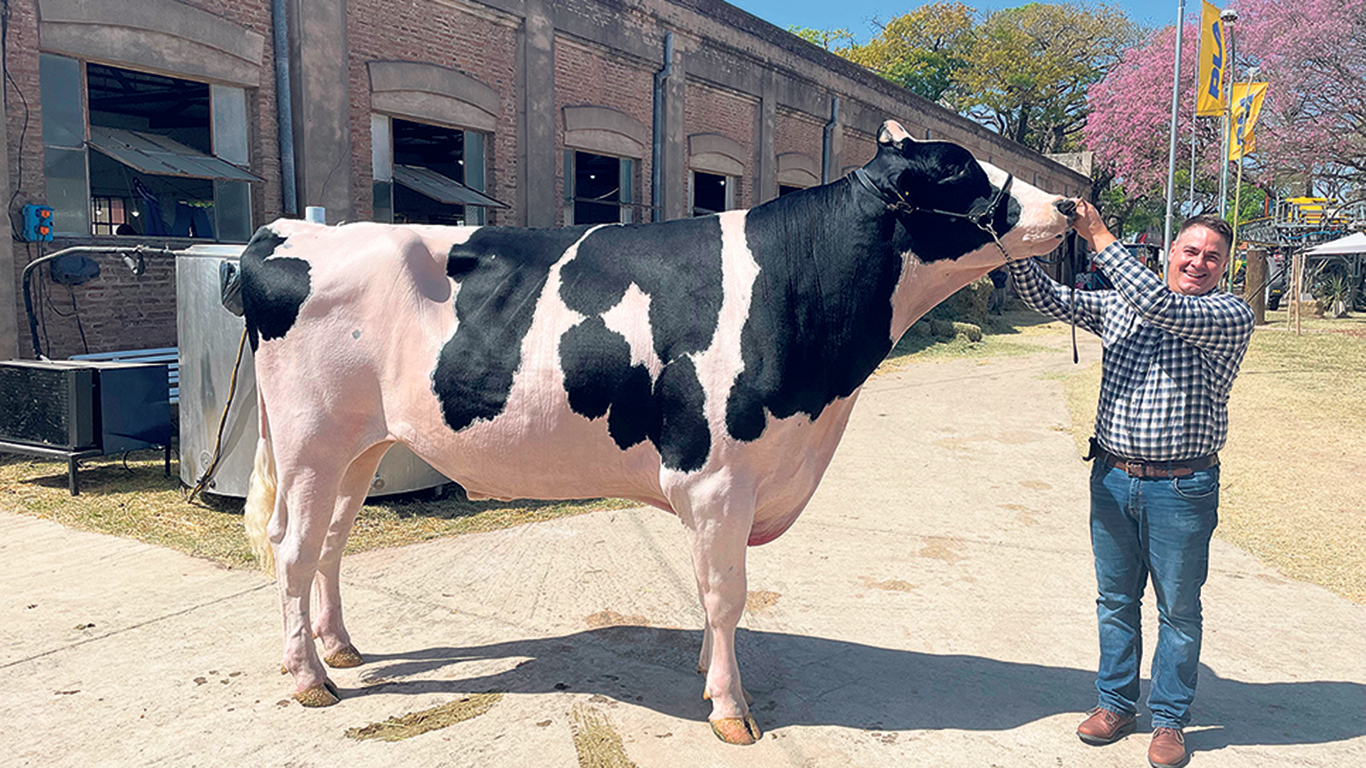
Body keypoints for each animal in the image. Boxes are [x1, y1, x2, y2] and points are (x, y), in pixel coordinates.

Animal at [245, 119, 1076, 743]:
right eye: (958, 170)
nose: (1070, 205)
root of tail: (285, 233)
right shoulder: (717, 477)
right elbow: (726, 592)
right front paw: (732, 710)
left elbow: (715, 592)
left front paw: (708, 673)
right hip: (310, 440)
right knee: (293, 549)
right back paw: (309, 679)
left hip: (361, 445)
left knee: (330, 544)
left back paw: (340, 649)